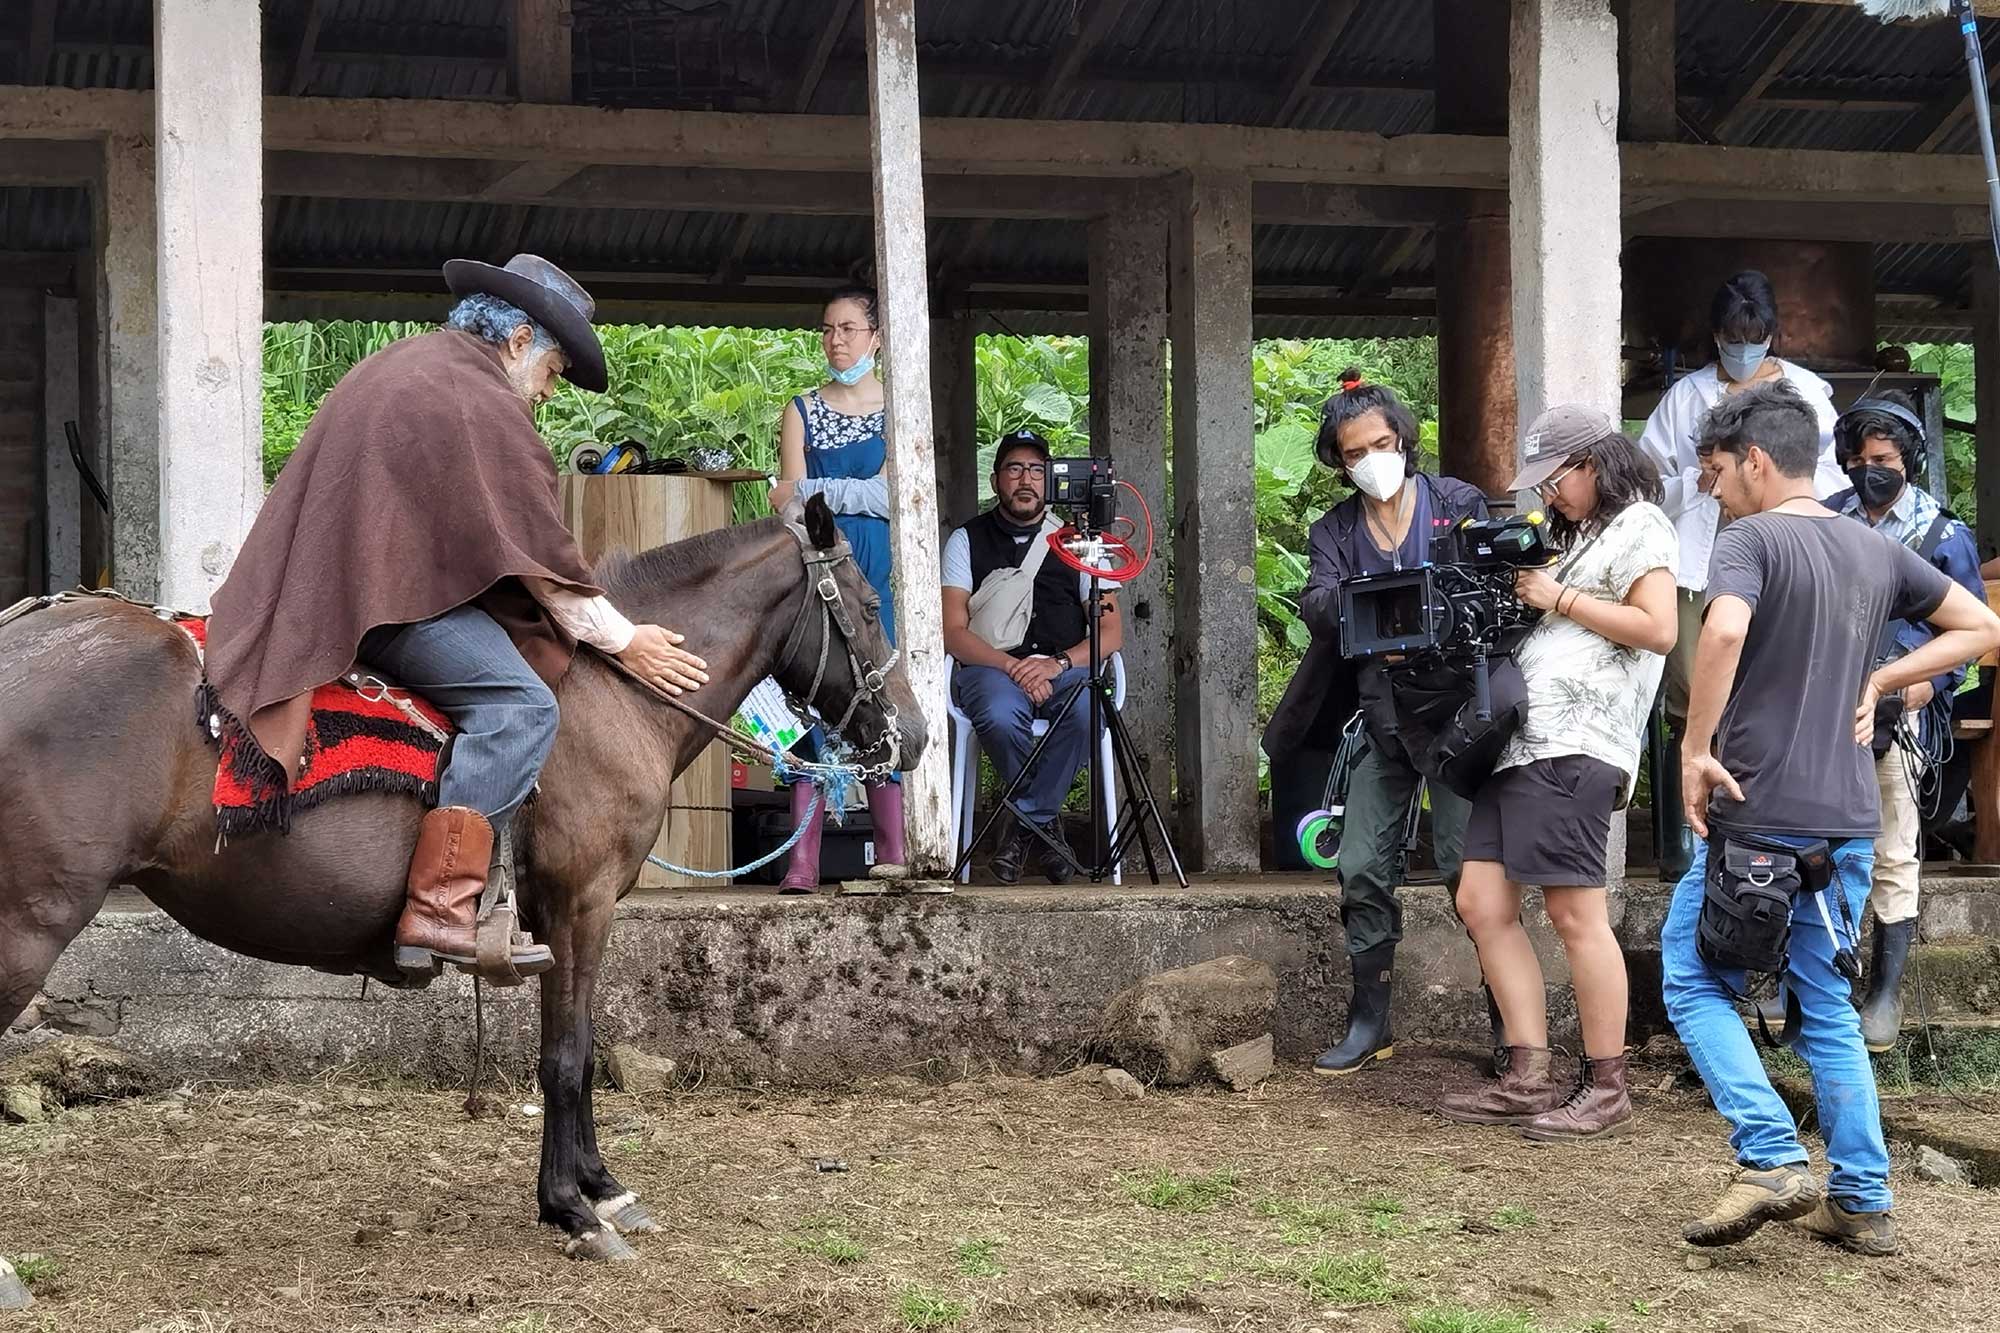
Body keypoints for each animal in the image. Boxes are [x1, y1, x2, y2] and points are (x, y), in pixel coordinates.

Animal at [0, 492, 920, 1264]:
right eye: (872, 608)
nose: (908, 737)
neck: (610, 695)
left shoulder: (563, 916)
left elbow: (583, 1046)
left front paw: (602, 1187)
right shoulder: (581, 905)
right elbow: (565, 1054)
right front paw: (570, 1209)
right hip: (29, 922)